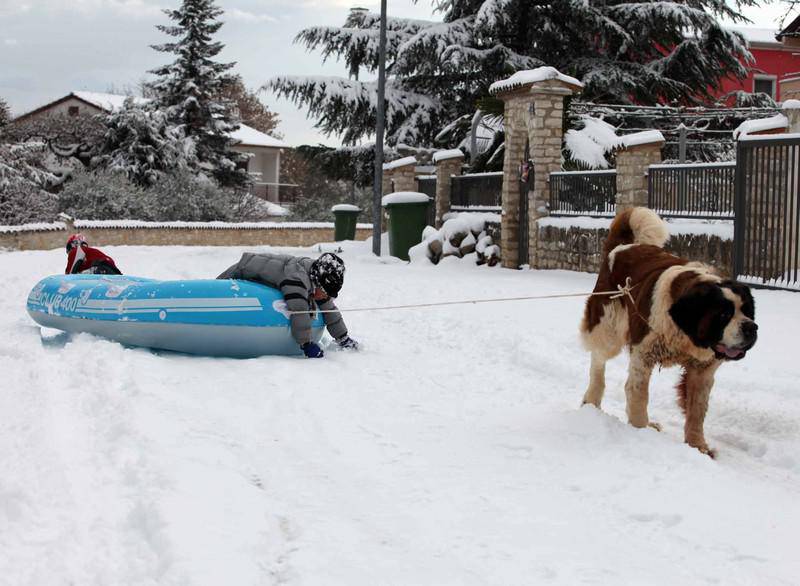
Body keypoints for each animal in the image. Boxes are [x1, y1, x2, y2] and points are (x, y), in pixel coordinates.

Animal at [580, 205, 756, 456]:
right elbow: (638, 396)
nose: (752, 327)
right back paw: (592, 400)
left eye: (748, 311)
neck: (685, 331)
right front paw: (639, 431)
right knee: (598, 360)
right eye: (724, 314)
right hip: (608, 327)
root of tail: (620, 248)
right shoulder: (643, 356)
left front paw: (698, 447)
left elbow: (696, 411)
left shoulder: (702, 371)